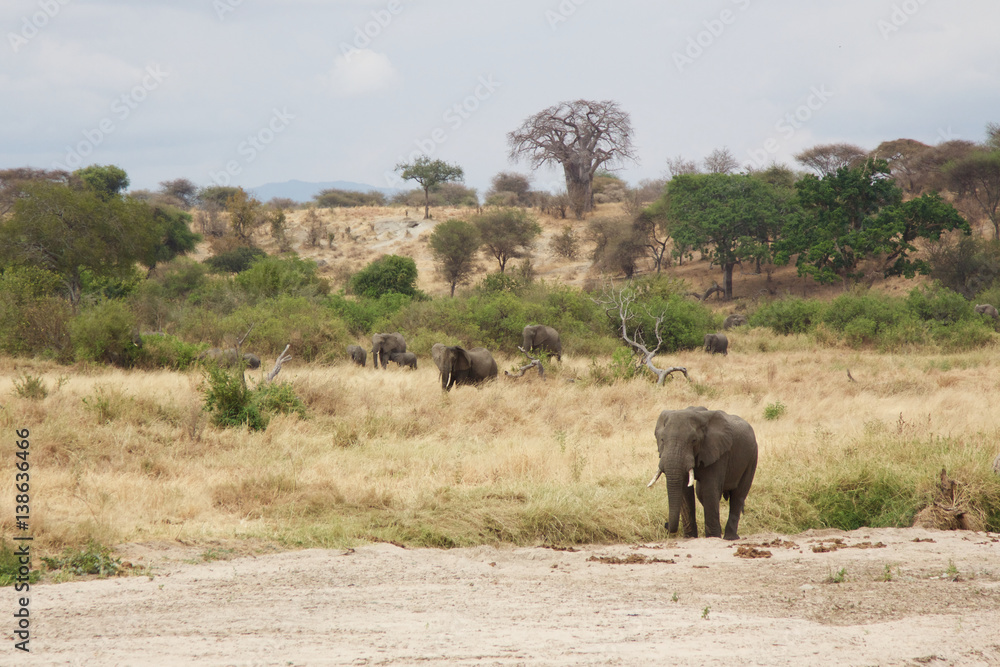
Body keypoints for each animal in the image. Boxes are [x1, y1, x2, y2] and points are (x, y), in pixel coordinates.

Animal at [647, 406, 758, 540]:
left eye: (694, 440)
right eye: (662, 439)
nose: (665, 524)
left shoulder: (718, 452)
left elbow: (710, 489)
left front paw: (713, 537)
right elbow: (685, 491)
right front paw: (689, 538)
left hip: (752, 457)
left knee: (738, 495)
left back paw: (730, 538)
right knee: (701, 494)